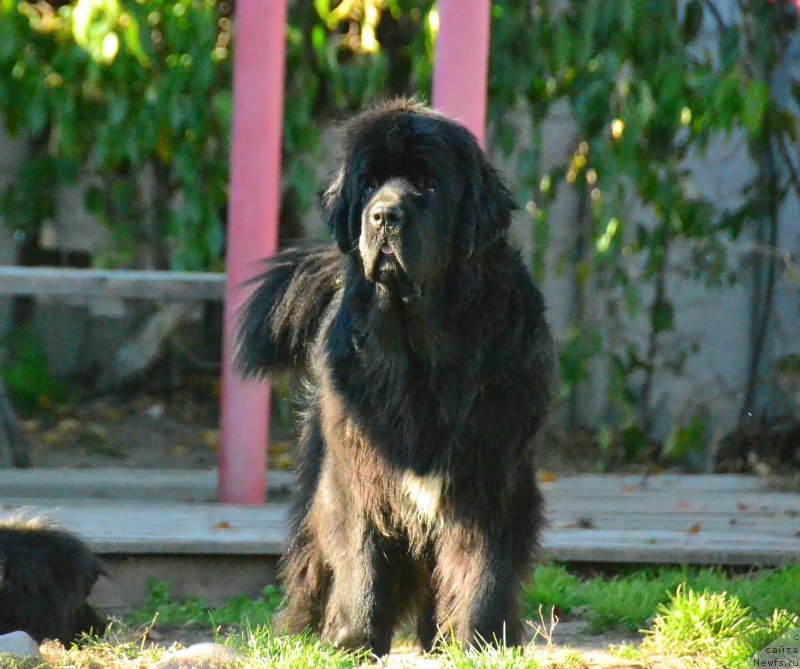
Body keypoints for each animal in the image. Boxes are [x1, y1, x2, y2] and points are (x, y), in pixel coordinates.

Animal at [234, 99, 552, 652]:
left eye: (428, 184)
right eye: (368, 185)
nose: (383, 215)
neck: (420, 350)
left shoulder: (491, 472)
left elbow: (485, 566)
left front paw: (482, 640)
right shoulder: (358, 467)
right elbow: (361, 556)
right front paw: (355, 640)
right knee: (311, 560)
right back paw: (299, 630)